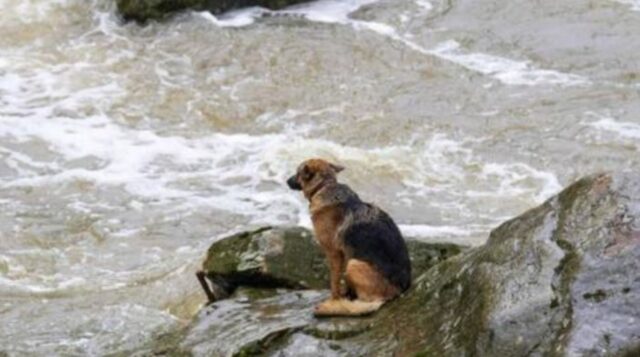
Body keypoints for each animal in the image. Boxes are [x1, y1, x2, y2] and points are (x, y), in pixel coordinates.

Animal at [286, 157, 410, 316]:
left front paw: (334, 300)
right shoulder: (343, 253)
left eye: (297, 172)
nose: (286, 181)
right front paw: (344, 293)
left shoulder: (333, 253)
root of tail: (397, 292)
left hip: (354, 264)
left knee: (366, 300)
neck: (325, 186)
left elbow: (334, 282)